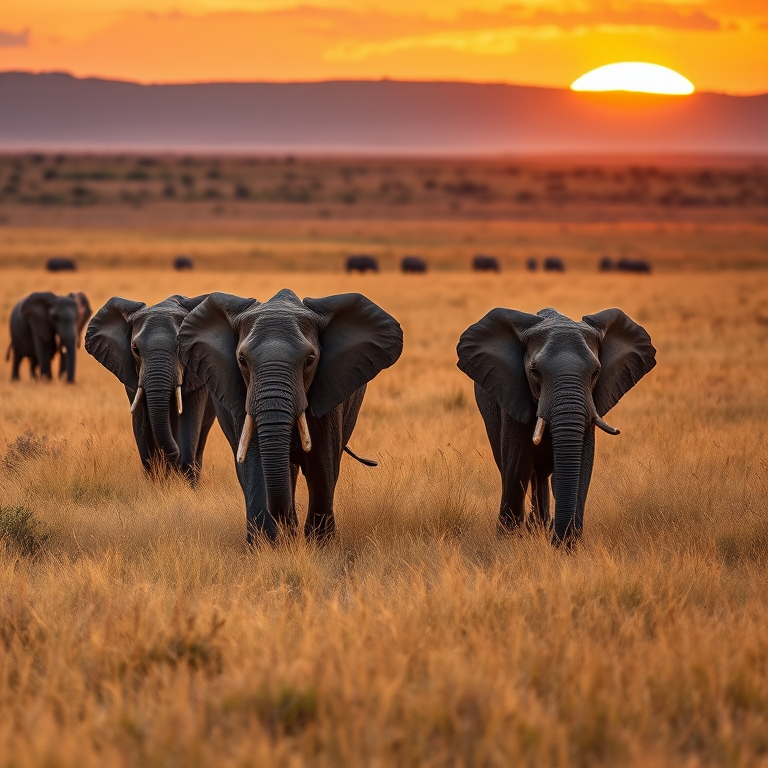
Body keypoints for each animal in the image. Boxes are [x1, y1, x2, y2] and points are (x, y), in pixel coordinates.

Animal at [85, 295, 216, 486]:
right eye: (135, 349)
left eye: (181, 348)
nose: (172, 455)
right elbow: (141, 424)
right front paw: (157, 483)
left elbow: (188, 422)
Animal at [177, 289, 403, 543]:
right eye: (242, 360)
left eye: (310, 360)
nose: (286, 523)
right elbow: (256, 464)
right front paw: (266, 545)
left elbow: (321, 464)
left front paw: (320, 545)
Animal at [457, 307, 656, 545]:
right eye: (535, 372)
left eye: (596, 372)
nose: (559, 541)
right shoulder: (513, 393)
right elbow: (518, 462)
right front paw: (507, 541)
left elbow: (582, 462)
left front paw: (567, 544)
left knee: (542, 475)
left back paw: (540, 527)